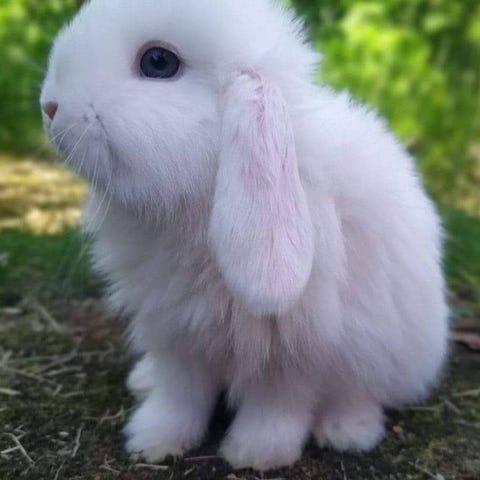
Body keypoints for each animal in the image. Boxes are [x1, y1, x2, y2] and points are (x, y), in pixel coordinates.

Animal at [40, 0, 449, 471]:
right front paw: (152, 441)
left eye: (158, 62)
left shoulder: (292, 353)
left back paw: (347, 431)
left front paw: (255, 454)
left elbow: (276, 405)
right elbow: (178, 397)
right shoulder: (179, 335)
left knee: (364, 390)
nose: (49, 106)